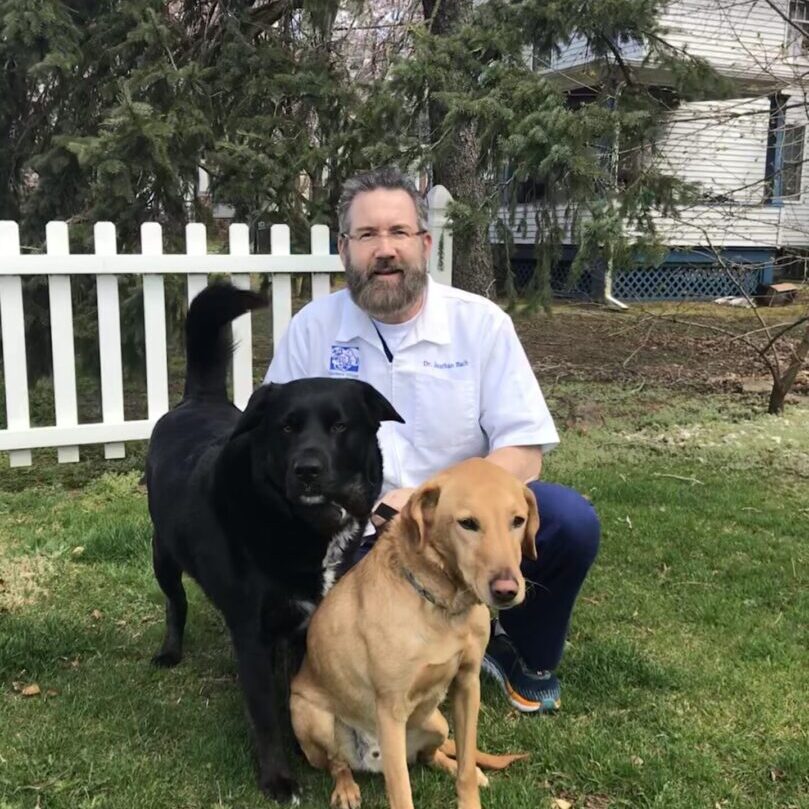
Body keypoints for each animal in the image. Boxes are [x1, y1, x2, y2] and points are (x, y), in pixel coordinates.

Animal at [144, 280, 402, 800]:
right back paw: (170, 650)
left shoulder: (310, 625)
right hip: (163, 554)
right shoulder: (252, 635)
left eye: (340, 425)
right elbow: (265, 716)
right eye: (286, 426)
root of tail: (197, 399)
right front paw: (279, 778)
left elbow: (299, 695)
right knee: (175, 603)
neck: (303, 524)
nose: (307, 469)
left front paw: (310, 750)